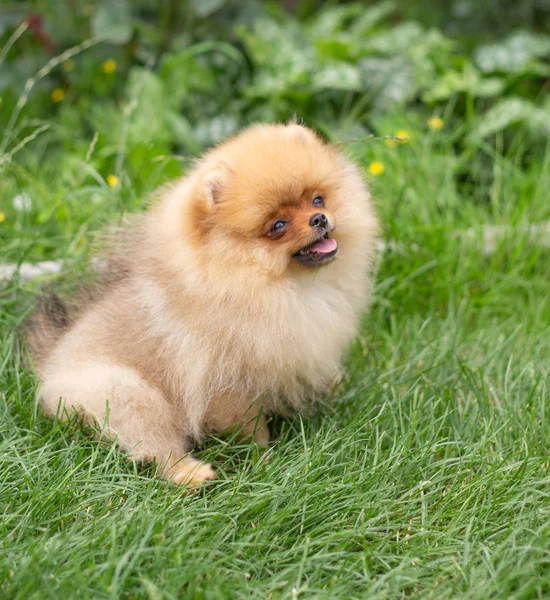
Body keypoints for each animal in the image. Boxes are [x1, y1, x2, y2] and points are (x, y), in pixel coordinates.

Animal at [28, 124, 382, 486]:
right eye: (278, 226)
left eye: (317, 199)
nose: (320, 218)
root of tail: (50, 369)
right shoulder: (226, 385)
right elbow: (250, 426)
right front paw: (264, 458)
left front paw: (334, 386)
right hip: (123, 391)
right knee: (153, 442)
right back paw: (191, 475)